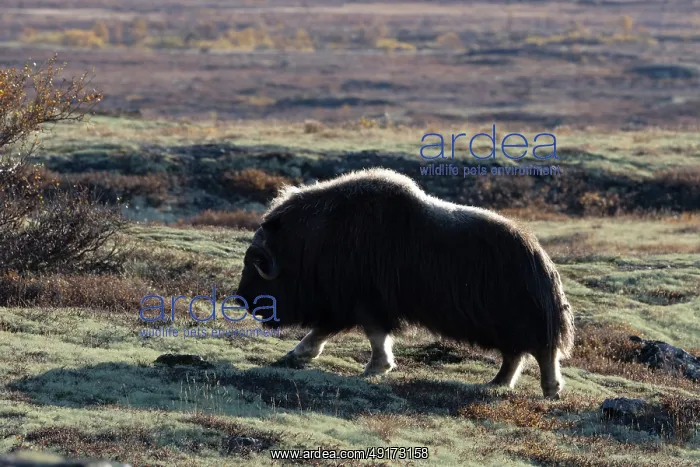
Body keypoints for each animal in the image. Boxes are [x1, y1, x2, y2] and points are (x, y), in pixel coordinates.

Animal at [235, 168, 575, 399]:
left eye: (254, 264)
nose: (242, 300)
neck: (309, 243)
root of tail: (541, 259)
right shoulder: (344, 303)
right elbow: (322, 331)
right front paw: (298, 353)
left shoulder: (364, 301)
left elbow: (372, 335)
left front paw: (375, 368)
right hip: (506, 328)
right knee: (515, 356)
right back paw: (497, 383)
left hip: (520, 321)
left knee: (542, 353)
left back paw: (550, 390)